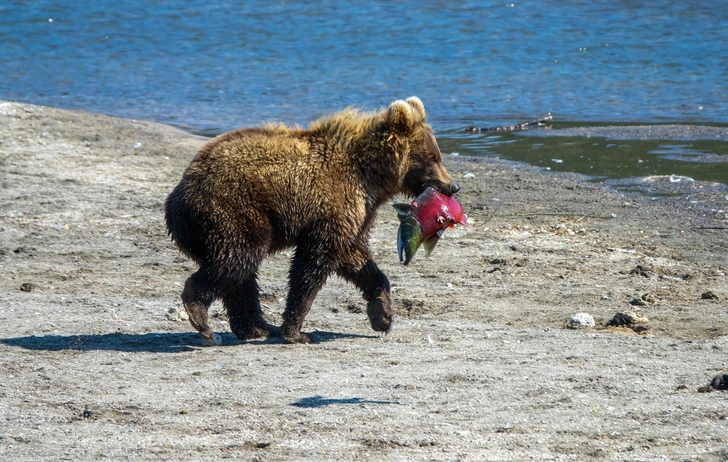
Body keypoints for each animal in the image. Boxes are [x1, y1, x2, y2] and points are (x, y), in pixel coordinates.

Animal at [168, 96, 458, 342]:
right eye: (433, 157)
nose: (453, 186)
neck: (371, 176)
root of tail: (178, 197)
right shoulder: (332, 205)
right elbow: (313, 263)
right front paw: (296, 331)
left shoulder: (358, 213)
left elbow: (358, 260)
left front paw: (382, 315)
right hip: (233, 212)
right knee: (236, 260)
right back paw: (203, 318)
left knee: (241, 275)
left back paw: (257, 327)